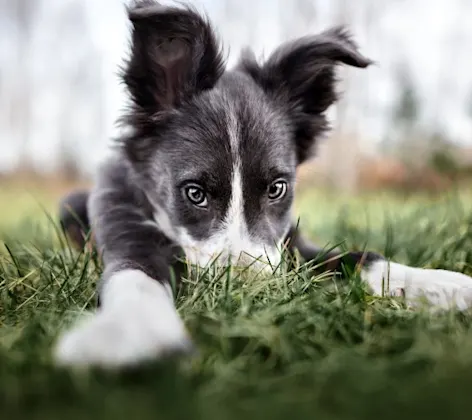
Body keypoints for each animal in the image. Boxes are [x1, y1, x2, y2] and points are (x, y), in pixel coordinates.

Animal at [53, 0, 472, 368]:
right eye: (195, 193)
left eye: (276, 188)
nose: (250, 294)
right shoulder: (127, 230)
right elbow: (135, 277)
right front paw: (128, 331)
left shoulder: (291, 244)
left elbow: (361, 258)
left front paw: (448, 286)